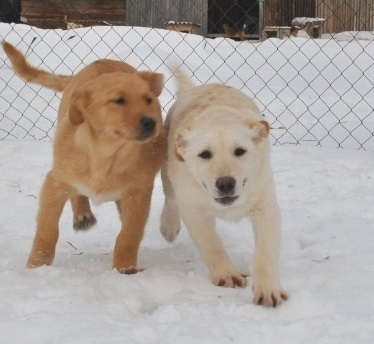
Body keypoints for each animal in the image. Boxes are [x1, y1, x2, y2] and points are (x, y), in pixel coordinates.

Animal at [2, 41, 167, 272]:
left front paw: (125, 269)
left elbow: (129, 234)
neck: (108, 156)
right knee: (76, 193)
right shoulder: (53, 183)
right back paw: (82, 213)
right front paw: (38, 265)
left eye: (149, 100)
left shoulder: (139, 192)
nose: (151, 123)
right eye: (119, 100)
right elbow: (46, 231)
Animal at [159, 70, 288, 306]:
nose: (226, 183)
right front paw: (227, 274)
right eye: (204, 154)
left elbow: (265, 252)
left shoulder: (266, 207)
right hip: (167, 174)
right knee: (170, 200)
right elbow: (212, 244)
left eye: (240, 151)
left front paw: (268, 289)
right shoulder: (193, 210)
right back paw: (169, 226)